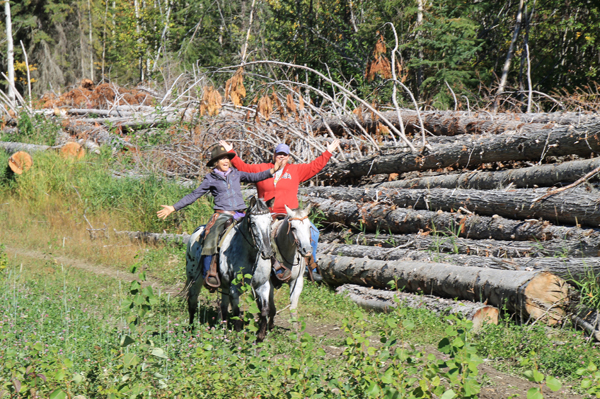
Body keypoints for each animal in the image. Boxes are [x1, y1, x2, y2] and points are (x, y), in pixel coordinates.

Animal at [184, 196, 276, 340]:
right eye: (253, 223)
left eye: (270, 221)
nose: (267, 252)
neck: (250, 255)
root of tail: (196, 232)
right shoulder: (234, 288)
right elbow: (237, 313)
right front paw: (237, 337)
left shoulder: (263, 285)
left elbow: (264, 310)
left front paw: (260, 337)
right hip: (194, 279)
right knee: (192, 303)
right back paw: (192, 331)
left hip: (224, 286)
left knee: (223, 308)